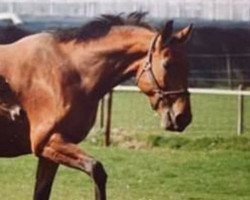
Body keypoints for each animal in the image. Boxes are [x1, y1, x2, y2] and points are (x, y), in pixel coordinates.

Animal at [0, 12, 192, 200]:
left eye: (186, 65)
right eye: (167, 64)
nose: (183, 117)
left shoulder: (49, 152)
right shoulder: (48, 142)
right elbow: (96, 169)